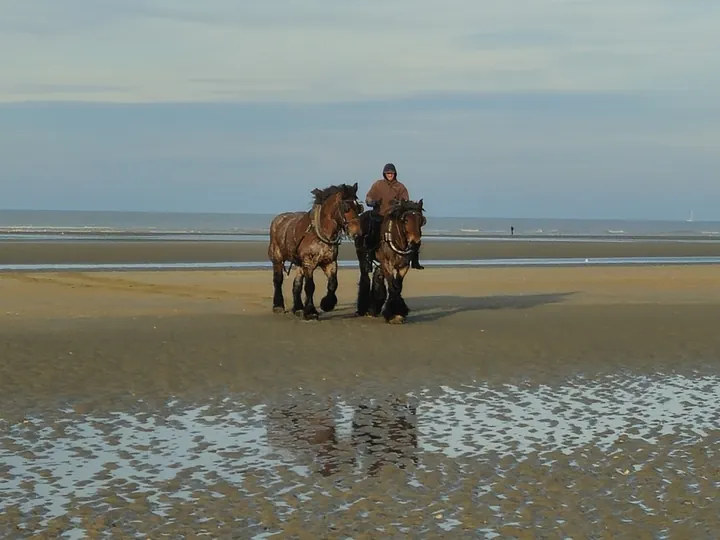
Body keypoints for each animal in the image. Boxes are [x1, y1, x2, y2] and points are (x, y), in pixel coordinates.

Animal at [268, 184, 362, 320]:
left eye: (358, 207)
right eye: (346, 207)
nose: (357, 232)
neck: (319, 232)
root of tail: (278, 219)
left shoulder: (330, 262)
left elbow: (333, 284)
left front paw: (327, 304)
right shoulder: (308, 263)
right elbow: (310, 286)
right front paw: (311, 312)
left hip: (299, 263)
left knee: (297, 284)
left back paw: (298, 308)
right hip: (277, 258)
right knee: (278, 280)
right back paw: (278, 306)